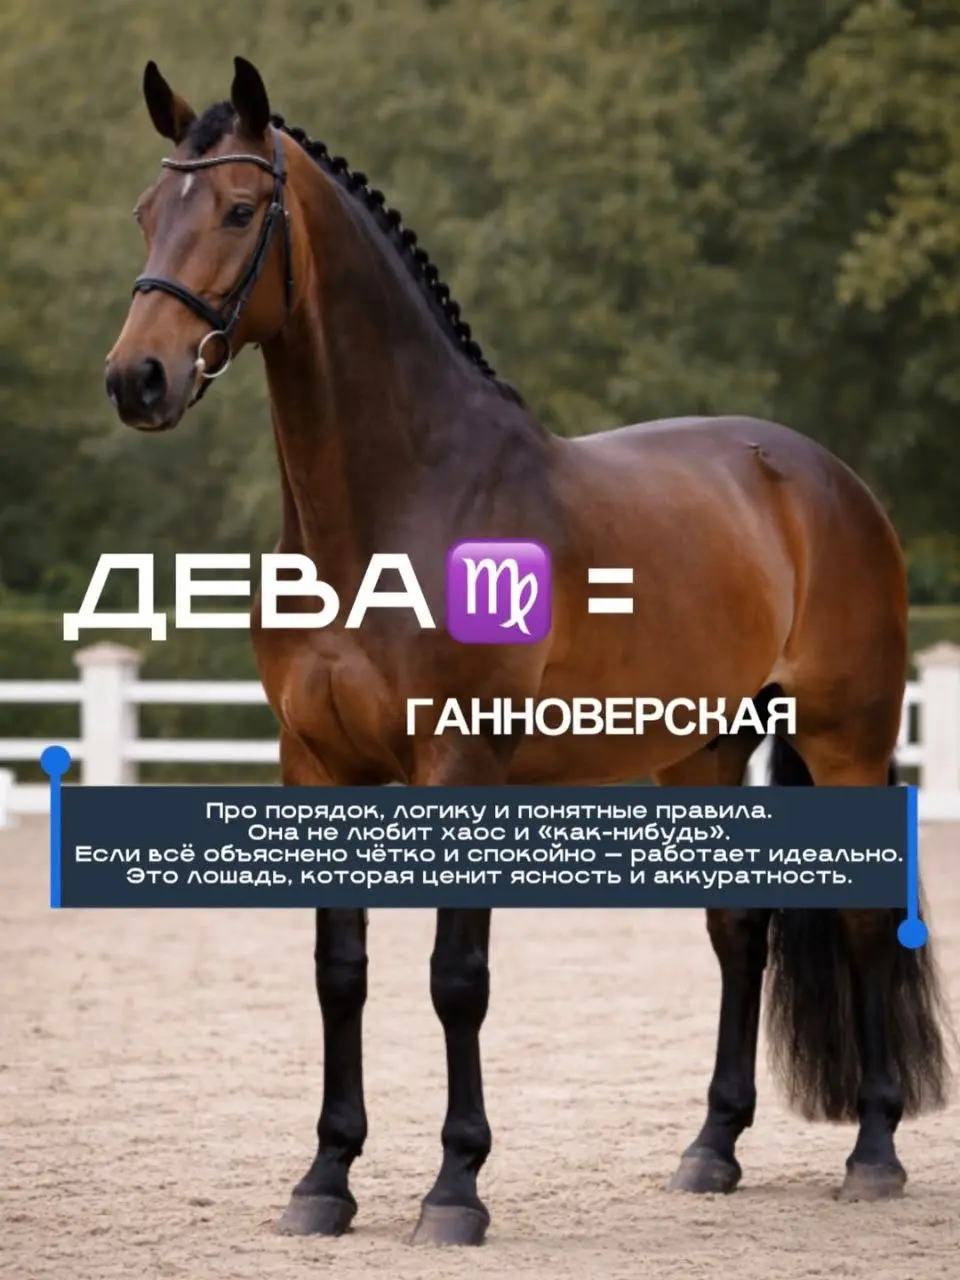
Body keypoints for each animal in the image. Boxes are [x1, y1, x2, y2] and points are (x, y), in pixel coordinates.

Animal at [104, 57, 951, 1247]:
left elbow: (457, 974)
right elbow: (339, 971)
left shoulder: (464, 762)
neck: (406, 495)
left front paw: (455, 1188)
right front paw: (325, 1179)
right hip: (703, 751)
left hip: (848, 735)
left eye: (234, 209)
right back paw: (713, 1149)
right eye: (148, 210)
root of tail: (823, 476)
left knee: (867, 919)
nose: (136, 379)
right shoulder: (316, 765)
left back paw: (874, 1152)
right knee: (740, 928)